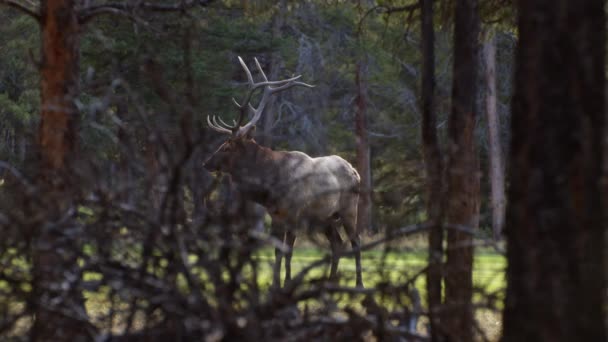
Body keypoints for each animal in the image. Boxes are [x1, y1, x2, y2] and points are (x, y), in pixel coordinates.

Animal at [207, 57, 364, 288]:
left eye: (227, 147)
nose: (206, 163)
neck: (270, 183)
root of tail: (355, 171)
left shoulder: (293, 212)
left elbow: (288, 251)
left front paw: (287, 283)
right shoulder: (276, 214)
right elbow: (277, 251)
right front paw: (275, 284)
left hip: (349, 209)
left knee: (355, 241)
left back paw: (359, 284)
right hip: (325, 217)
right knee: (337, 243)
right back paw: (330, 281)